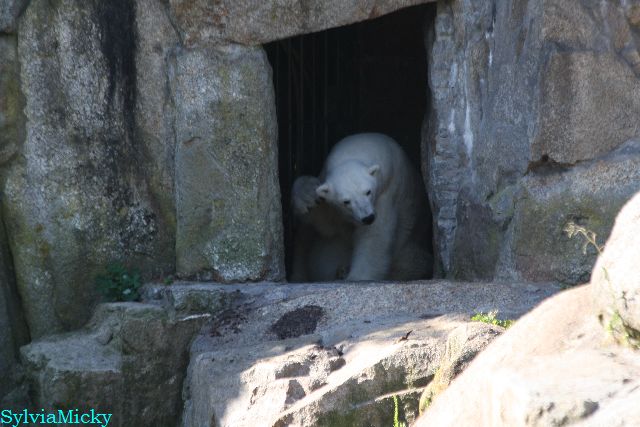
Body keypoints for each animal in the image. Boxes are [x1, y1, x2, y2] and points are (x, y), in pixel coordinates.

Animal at [290, 133, 432, 282]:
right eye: (346, 201)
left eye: (368, 192)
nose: (368, 218)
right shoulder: (335, 206)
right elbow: (324, 221)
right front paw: (308, 196)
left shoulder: (386, 194)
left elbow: (374, 237)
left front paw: (356, 277)